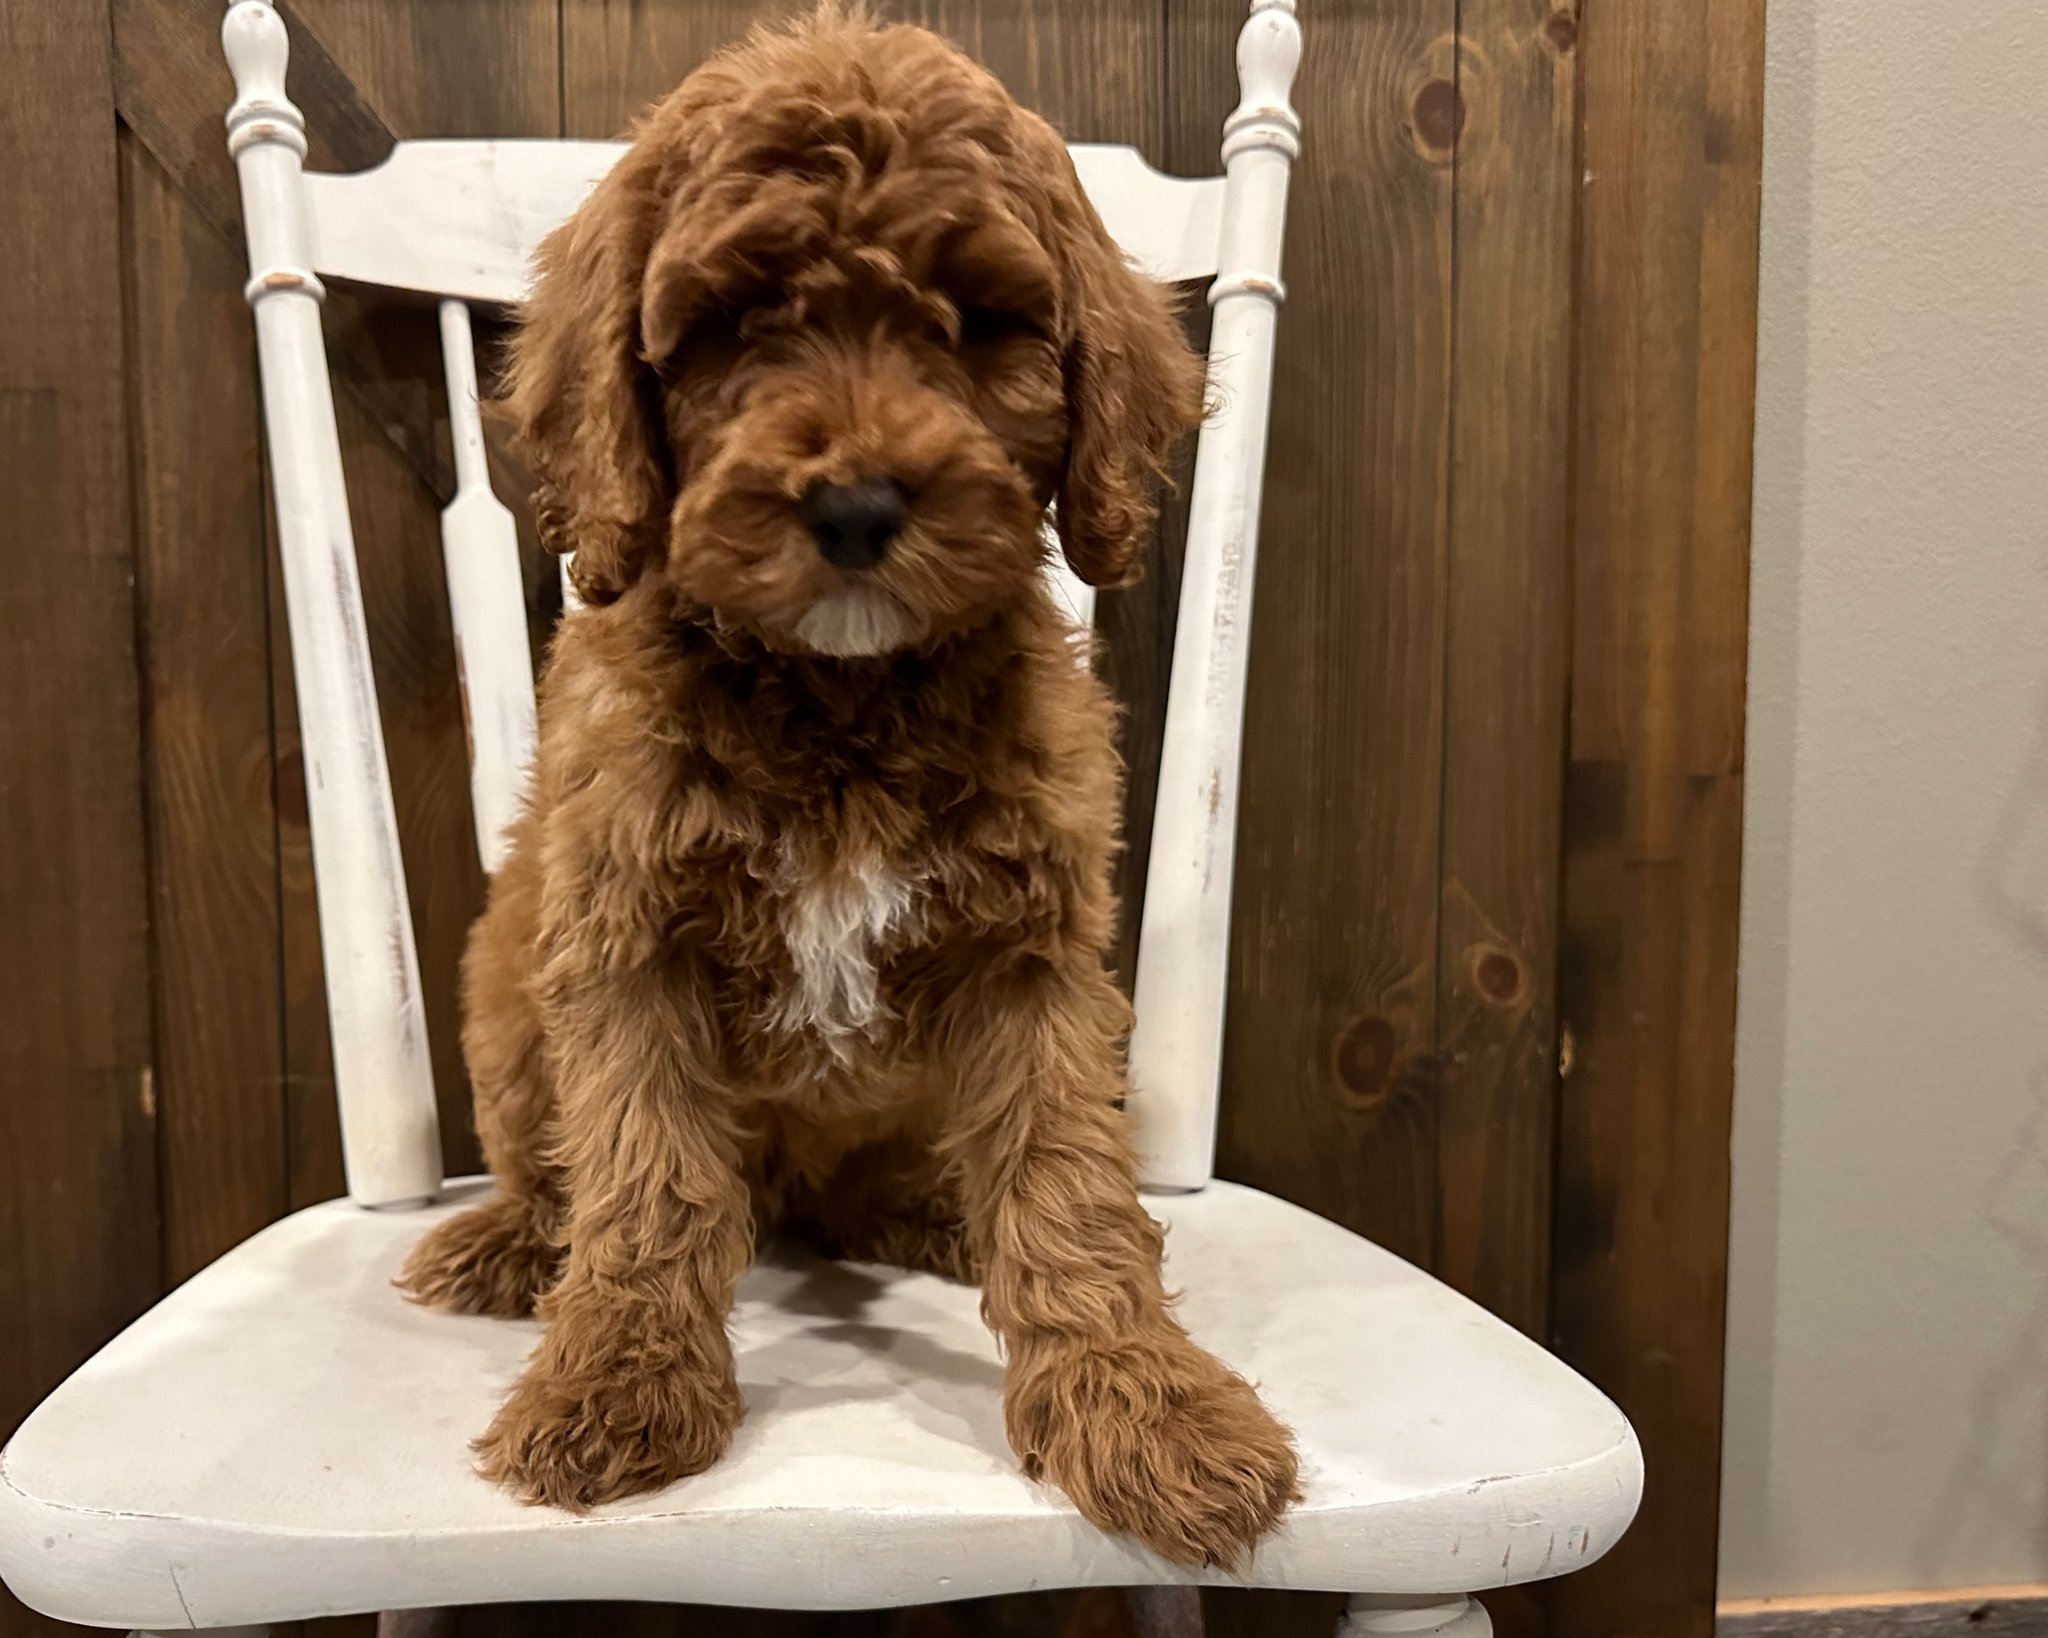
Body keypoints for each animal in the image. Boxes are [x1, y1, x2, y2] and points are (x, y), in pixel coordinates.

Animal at [399, 6, 1294, 1564]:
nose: (860, 507)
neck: (841, 695)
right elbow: (644, 1176)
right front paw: (613, 1386)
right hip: (504, 997)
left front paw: (1145, 1409)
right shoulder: (627, 939)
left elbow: (1069, 1185)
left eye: (977, 323)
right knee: (558, 1164)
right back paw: (513, 1240)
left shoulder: (1031, 955)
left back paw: (935, 1212)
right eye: (735, 324)